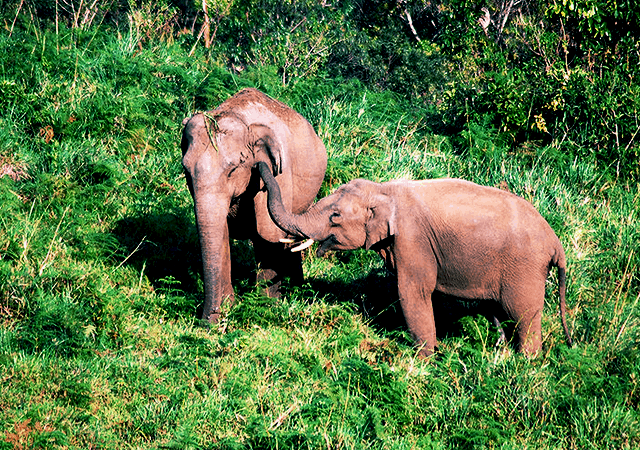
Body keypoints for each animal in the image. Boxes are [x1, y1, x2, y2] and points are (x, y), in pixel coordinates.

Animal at [181, 89, 327, 323]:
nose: (206, 323)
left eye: (234, 169)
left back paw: (297, 290)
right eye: (185, 170)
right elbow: (221, 234)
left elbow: (268, 235)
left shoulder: (281, 172)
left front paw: (265, 307)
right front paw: (228, 308)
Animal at [256, 161, 572, 357]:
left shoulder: (413, 239)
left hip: (525, 267)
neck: (383, 190)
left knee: (523, 315)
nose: (260, 166)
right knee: (495, 311)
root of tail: (556, 244)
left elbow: (413, 293)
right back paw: (499, 354)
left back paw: (525, 364)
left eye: (335, 217)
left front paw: (423, 362)